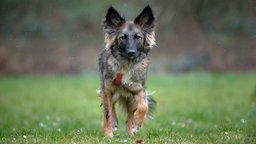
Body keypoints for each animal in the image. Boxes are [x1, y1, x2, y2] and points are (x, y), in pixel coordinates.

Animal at [98, 5, 156, 137]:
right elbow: (107, 113)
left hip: (131, 99)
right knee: (111, 107)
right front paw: (108, 135)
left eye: (138, 37)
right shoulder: (107, 89)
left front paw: (137, 123)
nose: (131, 52)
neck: (126, 65)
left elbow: (144, 106)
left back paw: (130, 134)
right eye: (122, 37)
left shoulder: (138, 89)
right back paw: (114, 123)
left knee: (129, 117)